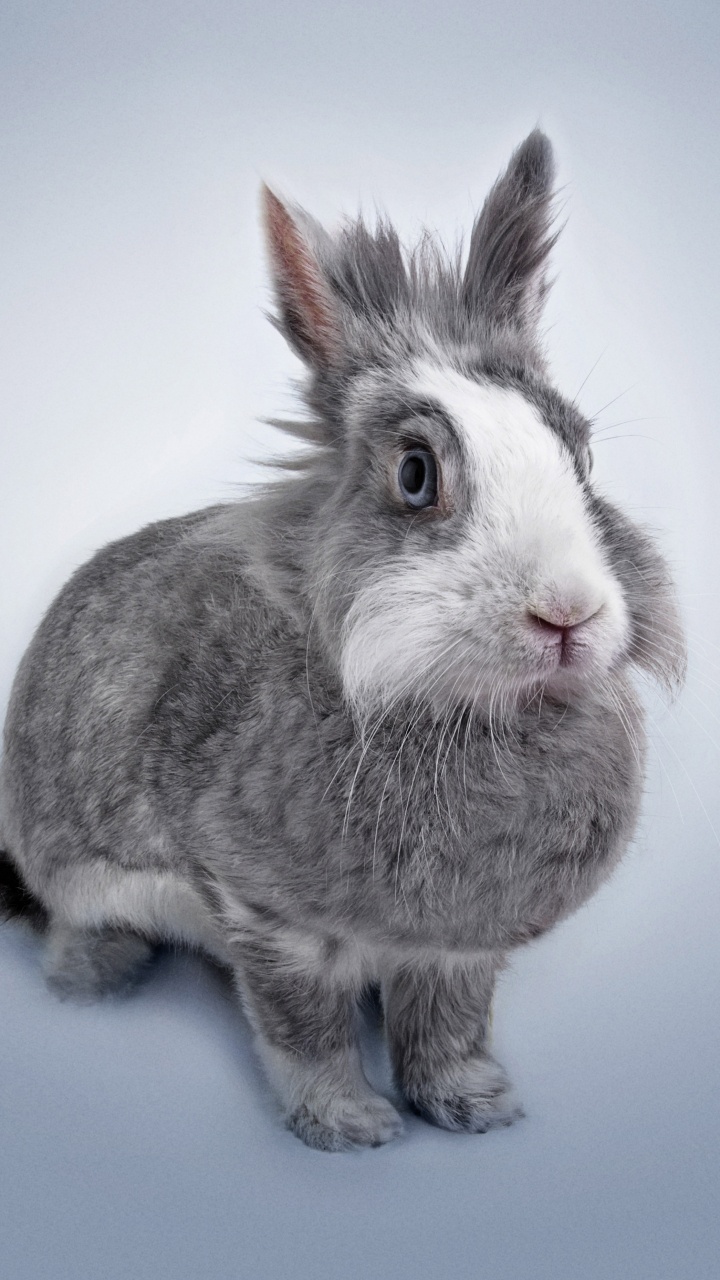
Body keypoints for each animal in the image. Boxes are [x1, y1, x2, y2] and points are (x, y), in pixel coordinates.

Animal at [0, 130, 685, 1151]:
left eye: (583, 456)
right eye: (415, 474)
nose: (568, 615)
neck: (456, 712)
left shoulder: (454, 949)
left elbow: (449, 1025)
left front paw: (476, 1106)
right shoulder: (265, 918)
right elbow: (304, 1029)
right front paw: (350, 1125)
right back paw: (99, 982)